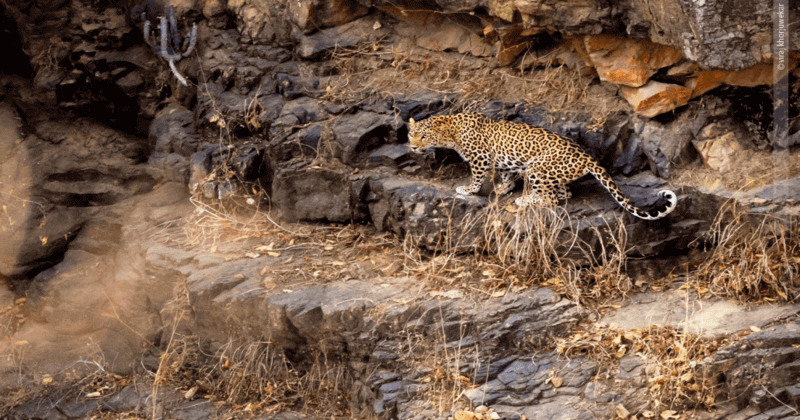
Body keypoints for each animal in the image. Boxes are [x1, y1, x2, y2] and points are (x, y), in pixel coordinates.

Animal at [410, 113, 680, 221]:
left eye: (424, 136)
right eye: (411, 134)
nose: (412, 147)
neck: (452, 131)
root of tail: (587, 156)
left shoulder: (480, 157)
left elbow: (477, 177)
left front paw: (468, 189)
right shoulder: (504, 161)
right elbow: (507, 173)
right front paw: (503, 187)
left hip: (537, 168)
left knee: (552, 199)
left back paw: (525, 200)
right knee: (563, 193)